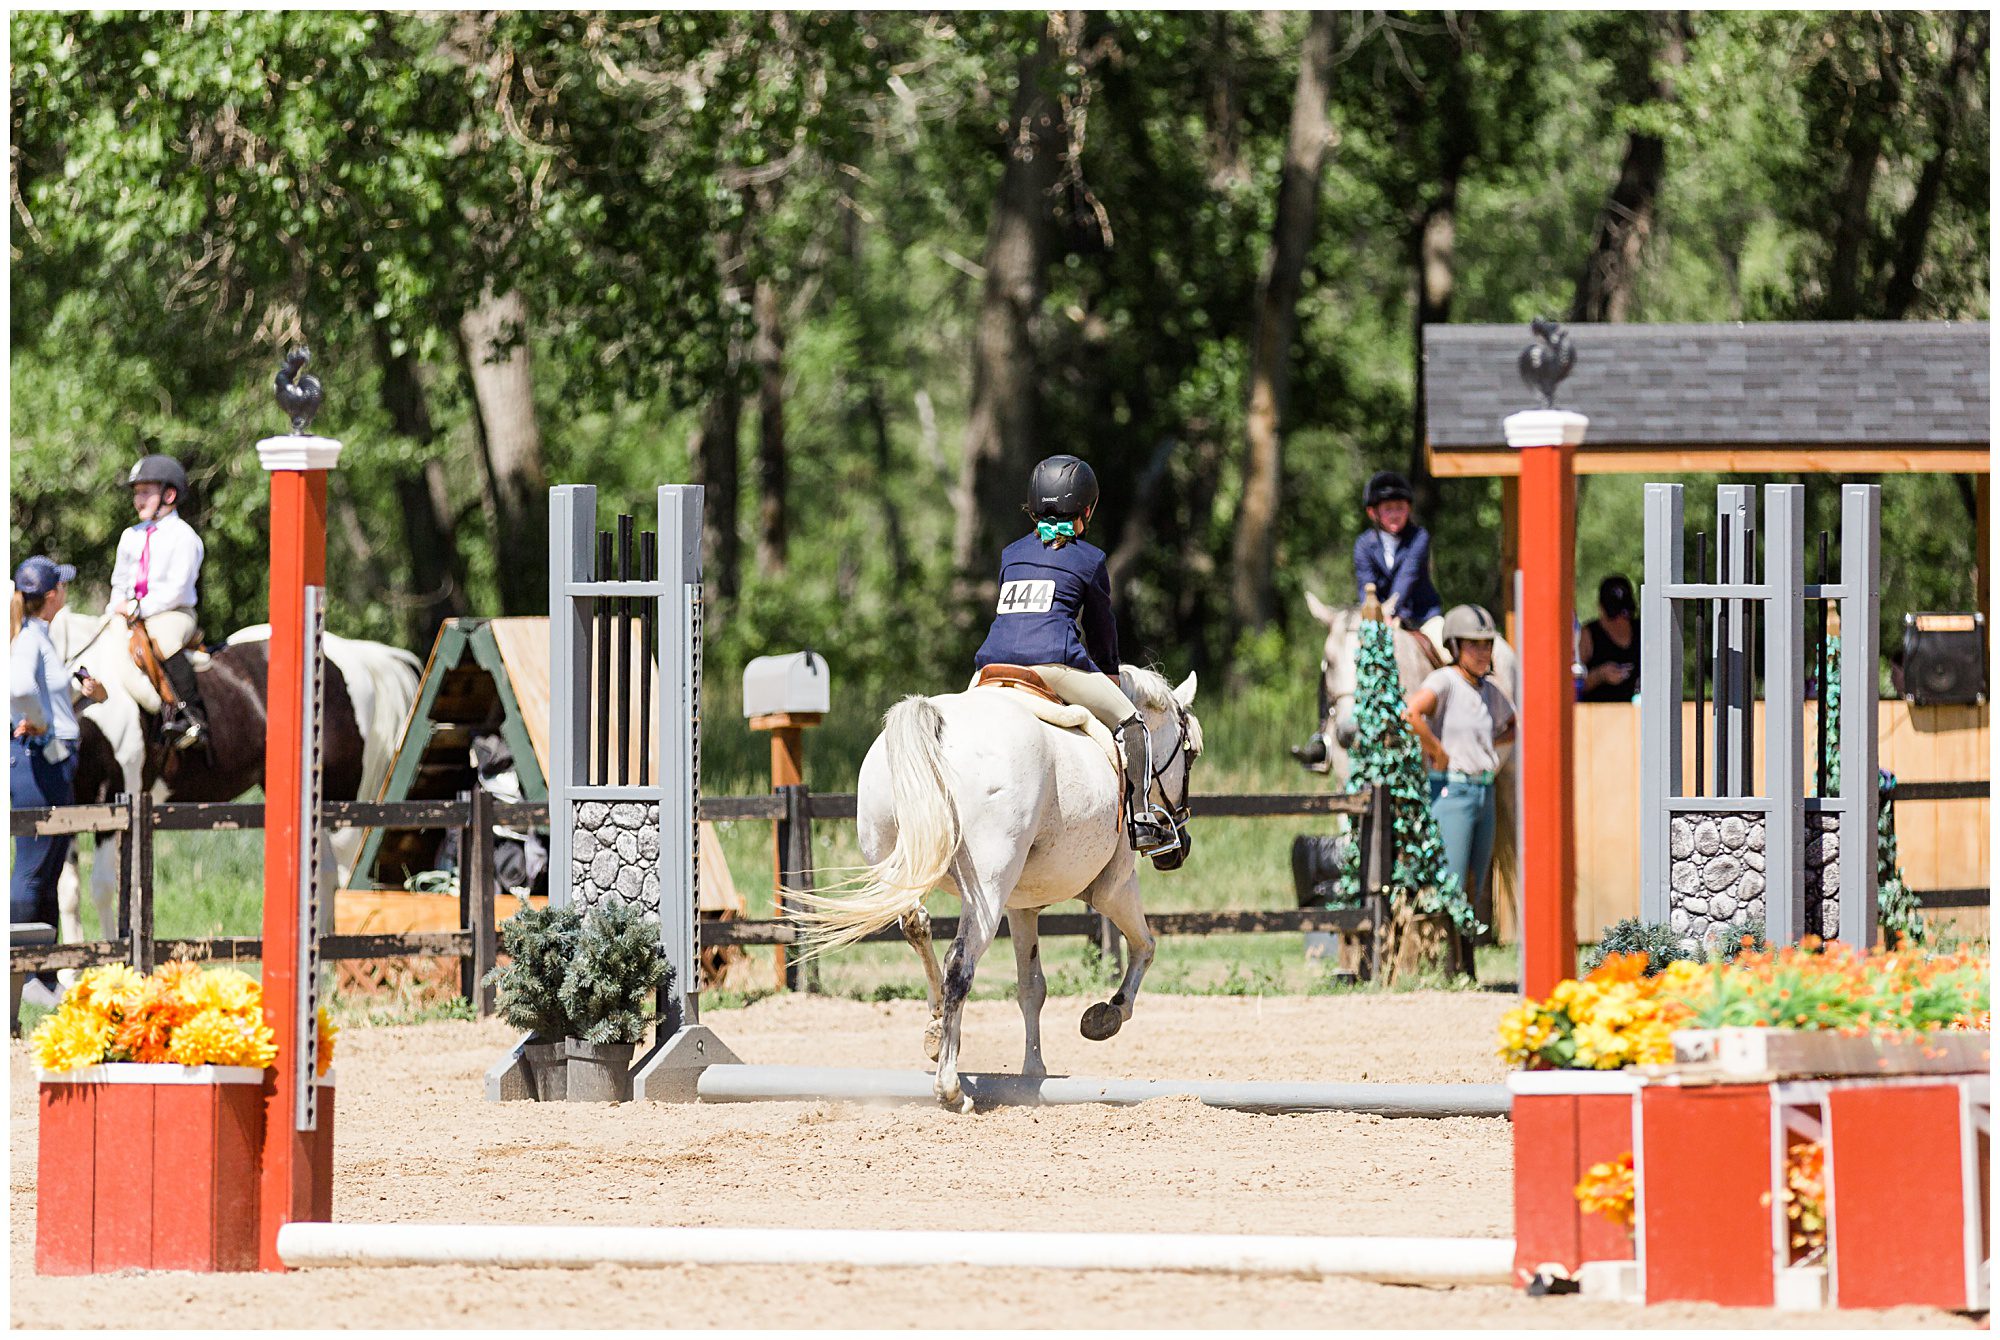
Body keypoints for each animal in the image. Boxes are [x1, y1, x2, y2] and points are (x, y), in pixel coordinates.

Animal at [784, 668, 1192, 1120]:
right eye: (1190, 753)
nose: (1178, 850)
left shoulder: (1022, 906)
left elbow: (1031, 987)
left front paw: (1033, 1073)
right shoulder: (1113, 886)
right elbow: (1145, 946)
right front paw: (1107, 1015)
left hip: (900, 864)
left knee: (916, 926)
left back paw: (936, 1026)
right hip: (989, 884)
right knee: (959, 963)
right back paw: (951, 1089)